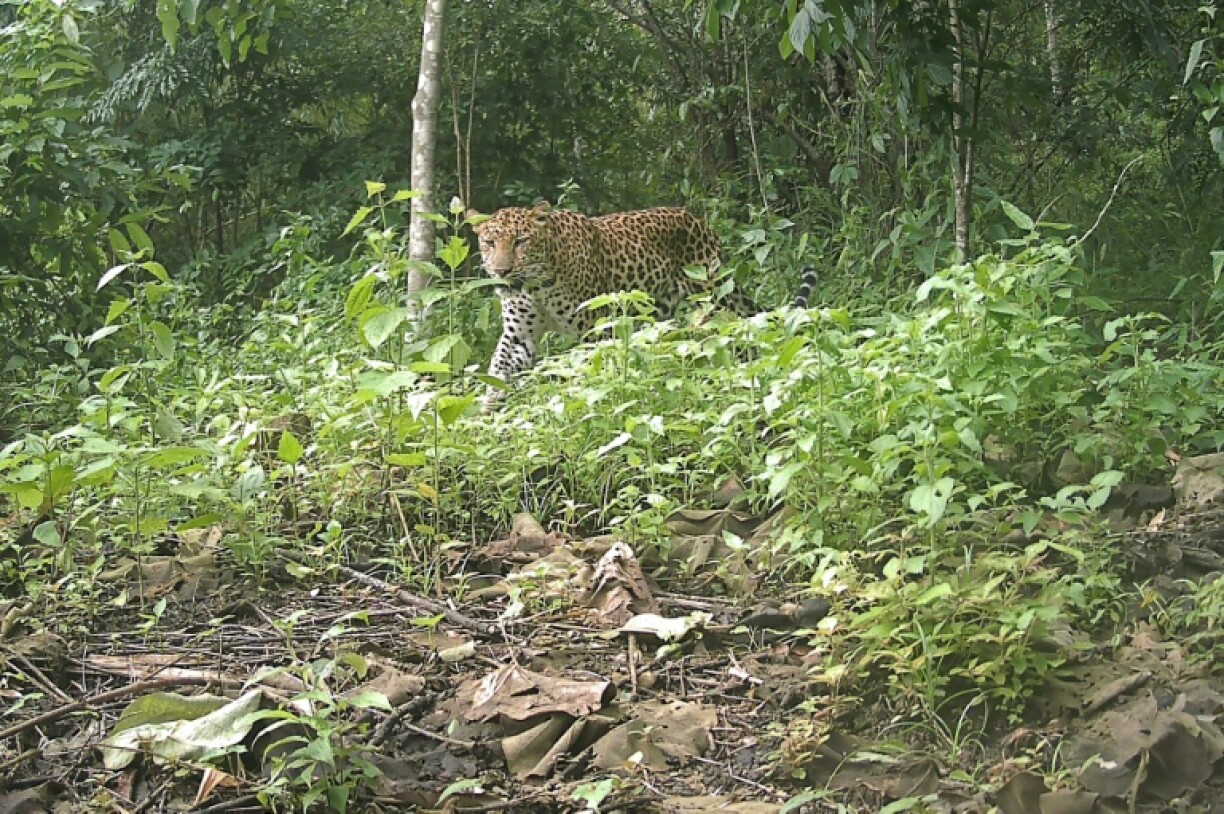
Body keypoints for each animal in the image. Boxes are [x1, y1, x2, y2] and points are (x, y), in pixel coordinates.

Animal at [470, 201, 817, 404]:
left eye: (521, 241)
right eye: (489, 242)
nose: (501, 272)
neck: (536, 285)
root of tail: (699, 221)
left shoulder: (594, 328)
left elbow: (592, 369)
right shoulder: (519, 334)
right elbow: (498, 367)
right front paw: (490, 412)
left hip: (715, 294)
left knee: (742, 327)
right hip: (655, 313)